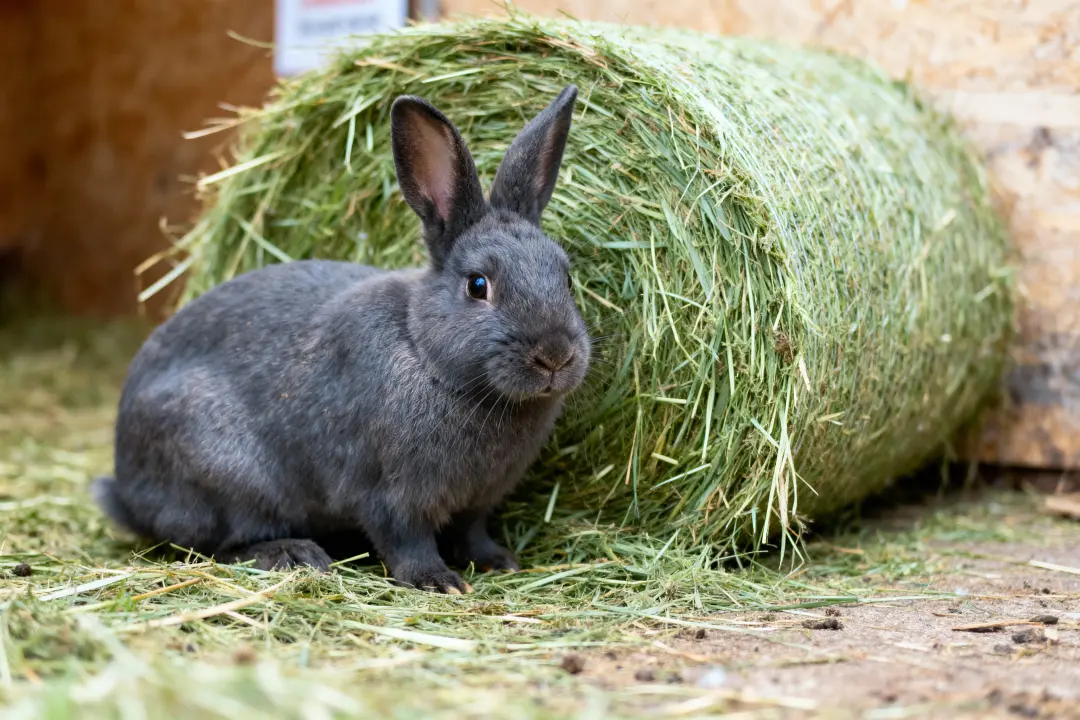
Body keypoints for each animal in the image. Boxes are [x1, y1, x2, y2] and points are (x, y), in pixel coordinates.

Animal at [92, 85, 590, 594]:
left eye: (567, 279)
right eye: (477, 285)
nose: (555, 356)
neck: (424, 352)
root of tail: (127, 487)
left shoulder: (477, 502)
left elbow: (471, 533)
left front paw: (497, 561)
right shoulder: (389, 494)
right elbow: (406, 541)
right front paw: (437, 581)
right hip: (226, 476)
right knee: (219, 545)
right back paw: (294, 554)